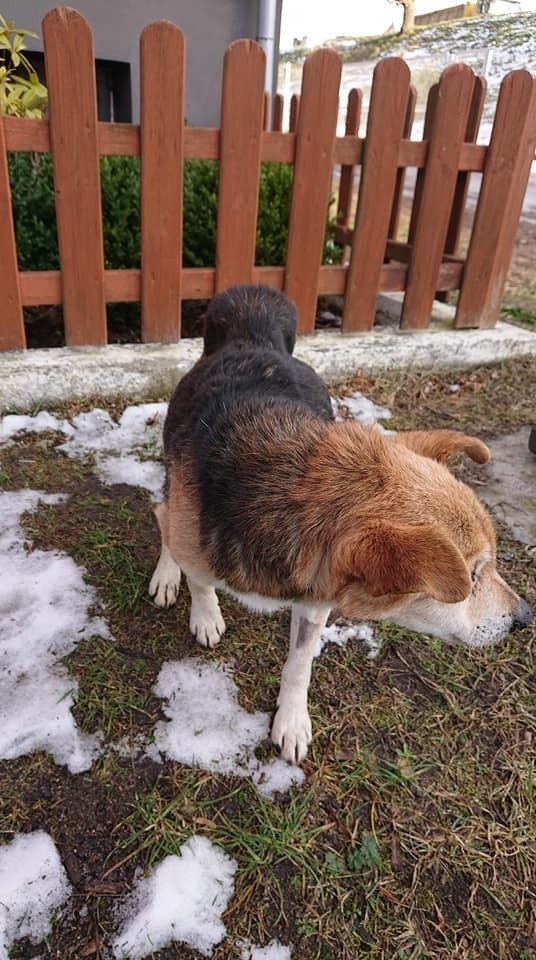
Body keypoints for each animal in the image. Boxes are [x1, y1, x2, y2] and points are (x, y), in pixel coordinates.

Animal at [149, 284, 528, 764]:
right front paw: (204, 614)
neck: (291, 492)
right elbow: (199, 581)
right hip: (172, 468)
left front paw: (292, 720)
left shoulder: (316, 598)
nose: (525, 617)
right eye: (474, 575)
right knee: (162, 515)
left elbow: (299, 665)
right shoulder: (195, 536)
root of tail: (255, 335)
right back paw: (167, 573)